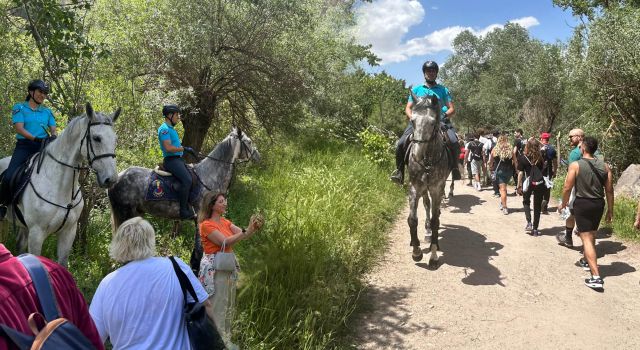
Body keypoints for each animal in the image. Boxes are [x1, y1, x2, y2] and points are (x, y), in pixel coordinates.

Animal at [0, 102, 120, 266]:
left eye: (115, 139)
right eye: (96, 138)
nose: (111, 179)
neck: (60, 188)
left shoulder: (68, 232)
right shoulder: (36, 234)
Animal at [108, 127, 260, 228]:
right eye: (249, 141)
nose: (258, 156)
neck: (210, 176)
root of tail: (119, 176)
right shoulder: (201, 218)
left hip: (137, 212)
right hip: (125, 213)